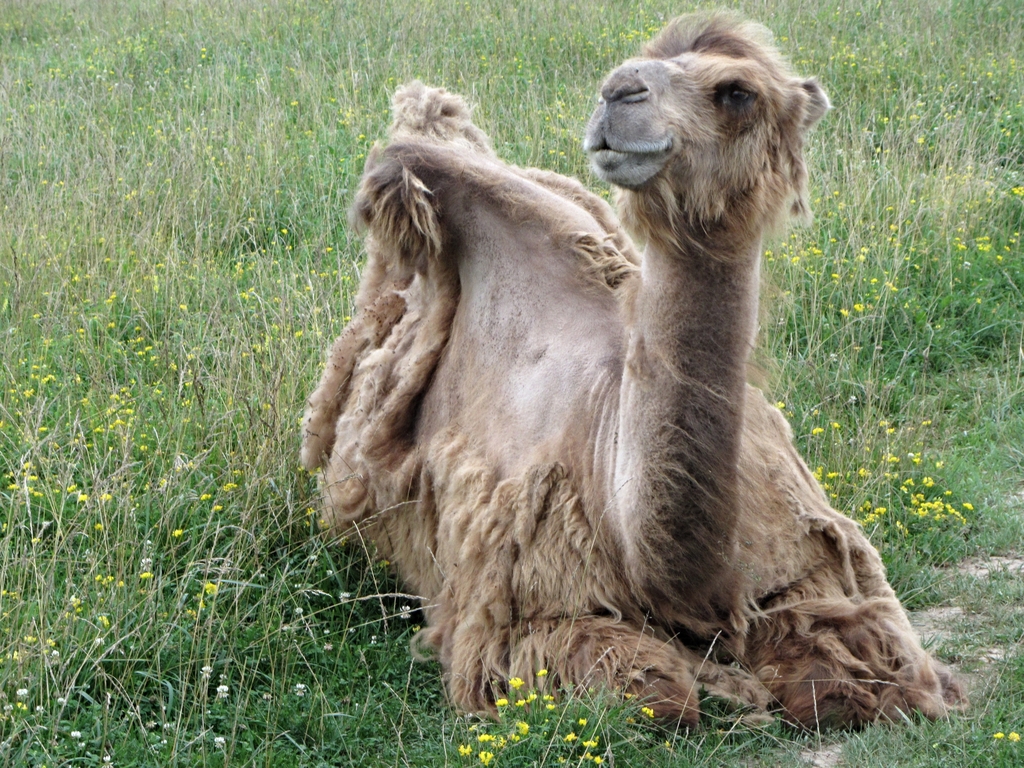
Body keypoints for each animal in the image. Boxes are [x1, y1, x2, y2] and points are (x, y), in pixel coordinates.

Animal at [301, 13, 965, 728]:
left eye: (738, 92)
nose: (618, 94)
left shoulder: (806, 564)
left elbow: (841, 682)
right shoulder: (525, 615)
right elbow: (662, 693)